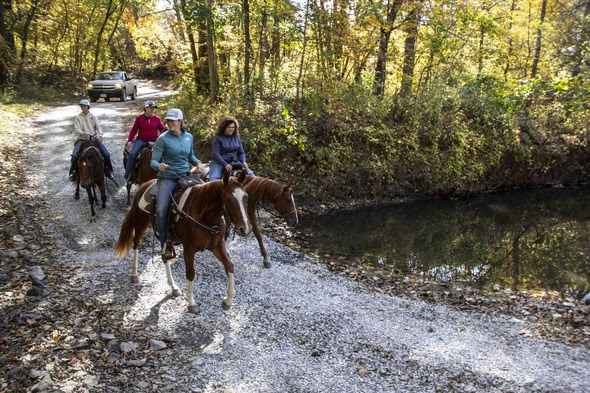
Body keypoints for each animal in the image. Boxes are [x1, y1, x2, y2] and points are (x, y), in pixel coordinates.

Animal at [114, 172, 252, 312]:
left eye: (246, 197)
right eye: (228, 200)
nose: (245, 229)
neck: (204, 215)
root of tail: (144, 185)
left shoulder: (217, 246)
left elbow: (229, 265)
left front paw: (228, 301)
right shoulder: (189, 248)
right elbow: (190, 273)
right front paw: (191, 303)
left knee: (164, 256)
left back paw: (173, 287)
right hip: (141, 223)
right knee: (137, 244)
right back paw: (134, 275)